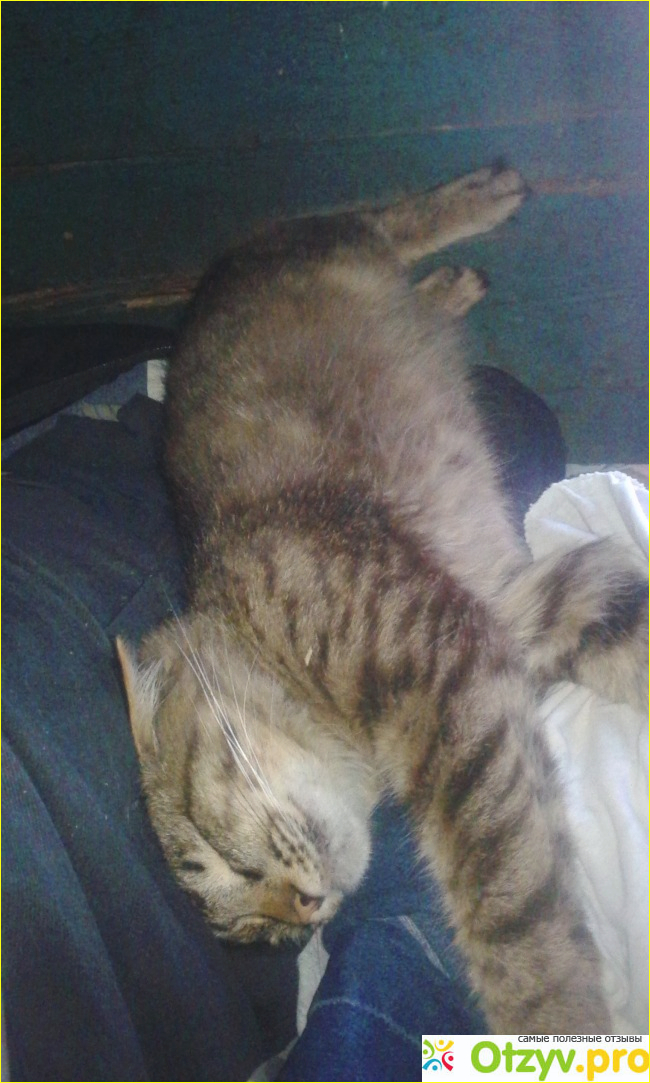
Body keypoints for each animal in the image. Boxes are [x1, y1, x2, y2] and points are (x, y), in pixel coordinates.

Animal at [117, 165, 647, 1035]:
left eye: (215, 854)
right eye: (259, 936)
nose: (304, 911)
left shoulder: (451, 678)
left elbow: (519, 926)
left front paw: (556, 1021)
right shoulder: (525, 604)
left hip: (321, 239)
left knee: (381, 217)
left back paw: (481, 200)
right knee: (391, 254)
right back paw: (447, 288)